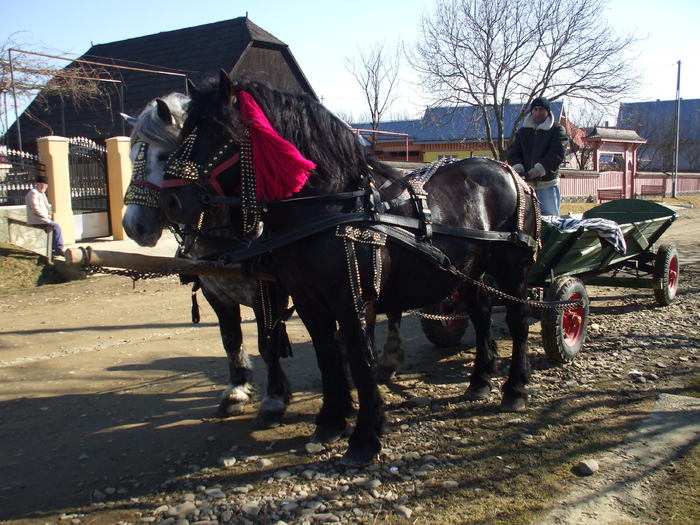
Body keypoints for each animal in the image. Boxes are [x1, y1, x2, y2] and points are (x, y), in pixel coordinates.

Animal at [160, 71, 540, 464]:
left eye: (217, 129)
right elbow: (327, 356)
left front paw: (365, 438)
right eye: (186, 128)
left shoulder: (354, 301)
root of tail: (508, 170)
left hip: (512, 271)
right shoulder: (309, 301)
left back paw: (516, 388)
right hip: (468, 272)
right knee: (481, 316)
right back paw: (480, 380)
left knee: (517, 320)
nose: (170, 201)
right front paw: (331, 421)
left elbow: (358, 359)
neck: (332, 206)